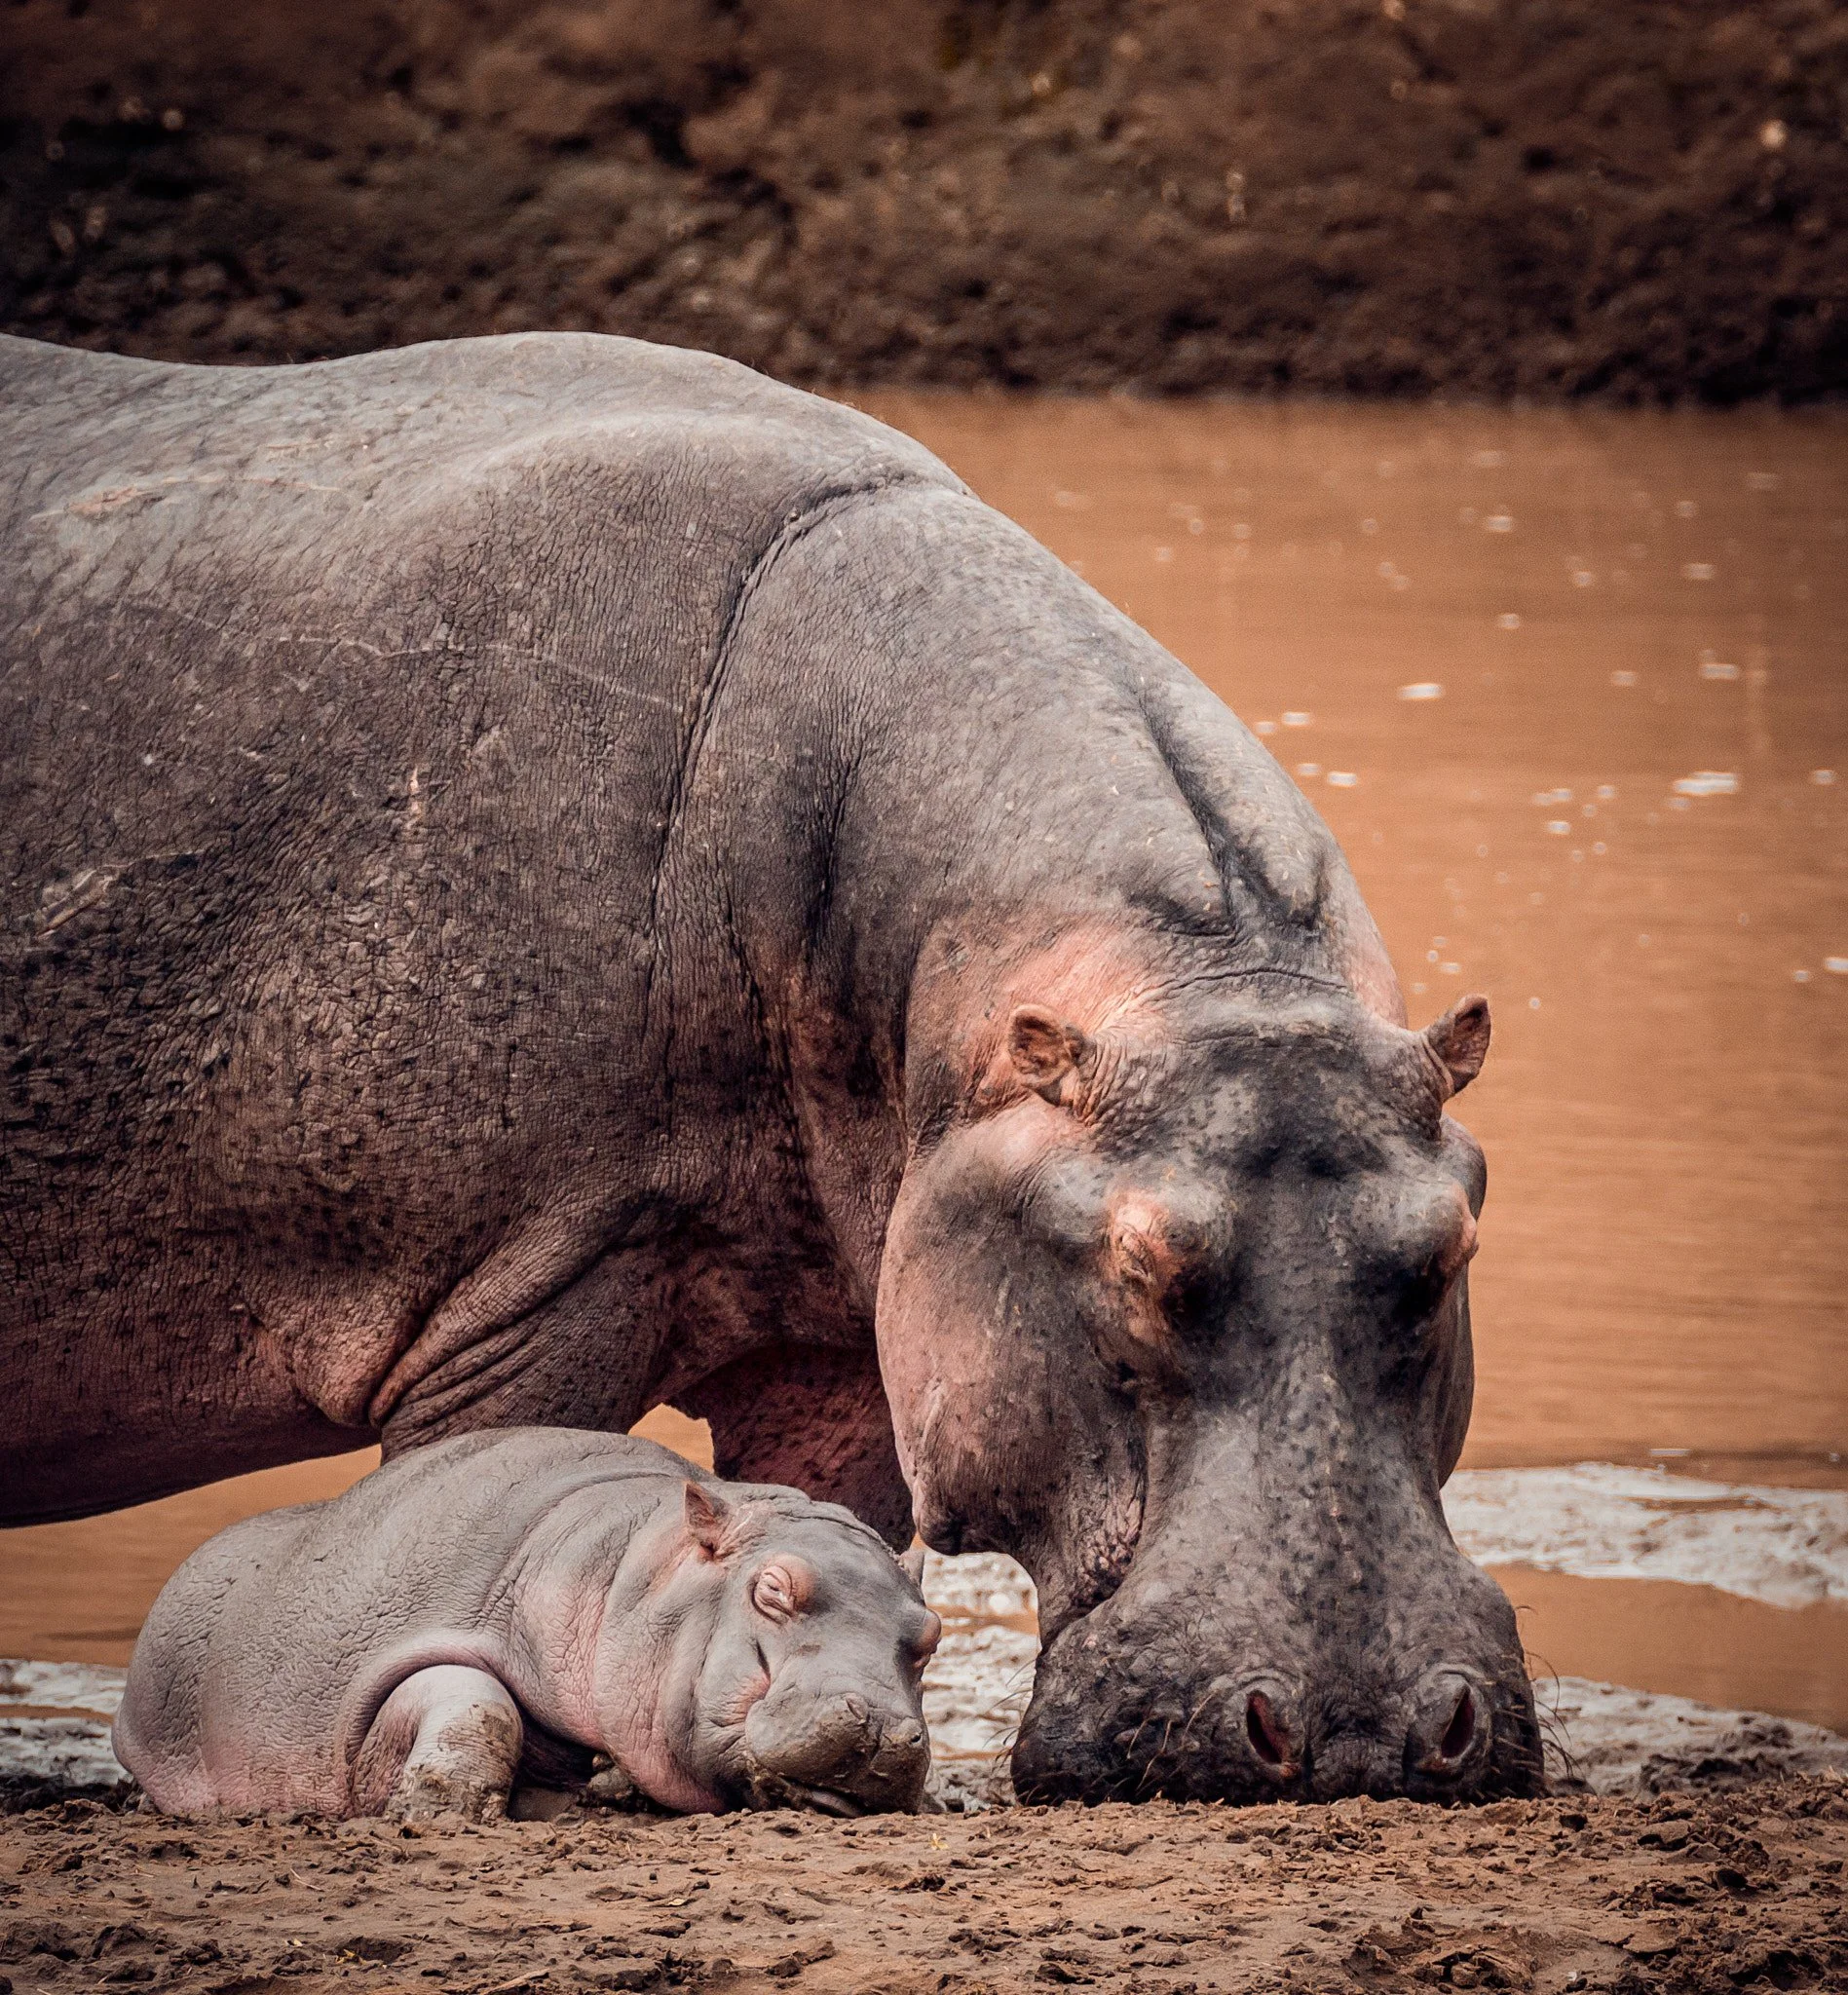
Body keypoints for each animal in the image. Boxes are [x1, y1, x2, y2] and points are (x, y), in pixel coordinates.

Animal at [114, 1428, 939, 1819]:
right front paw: (434, 1811)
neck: (630, 1567)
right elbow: (477, 1703)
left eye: (930, 1638)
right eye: (771, 1589)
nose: (882, 1727)